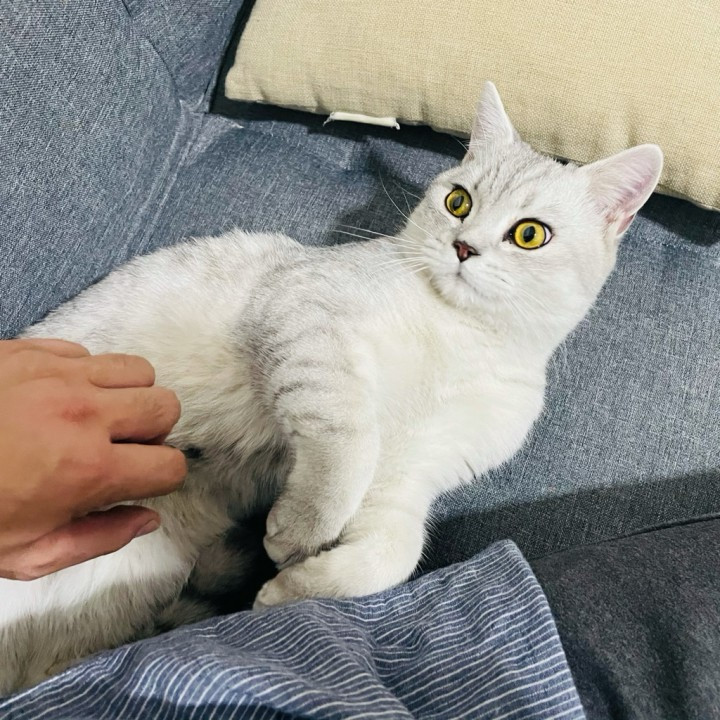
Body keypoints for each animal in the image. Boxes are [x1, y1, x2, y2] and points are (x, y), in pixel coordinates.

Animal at [0, 82, 663, 694]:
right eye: (458, 201)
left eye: (529, 234)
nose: (463, 246)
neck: (463, 337)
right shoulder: (308, 320)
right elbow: (348, 440)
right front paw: (299, 529)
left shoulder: (414, 473)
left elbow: (392, 555)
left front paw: (294, 589)